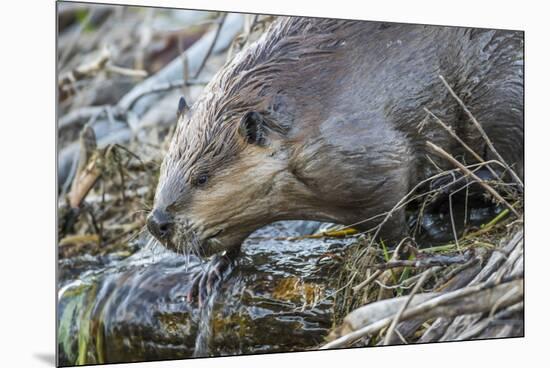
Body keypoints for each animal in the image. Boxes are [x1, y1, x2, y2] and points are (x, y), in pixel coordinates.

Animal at [147, 15, 528, 258]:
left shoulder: (360, 150)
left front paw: (408, 249)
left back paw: (446, 185)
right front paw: (214, 272)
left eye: (201, 178)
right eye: (164, 170)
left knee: (507, 163)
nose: (157, 223)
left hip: (500, 88)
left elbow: (390, 202)